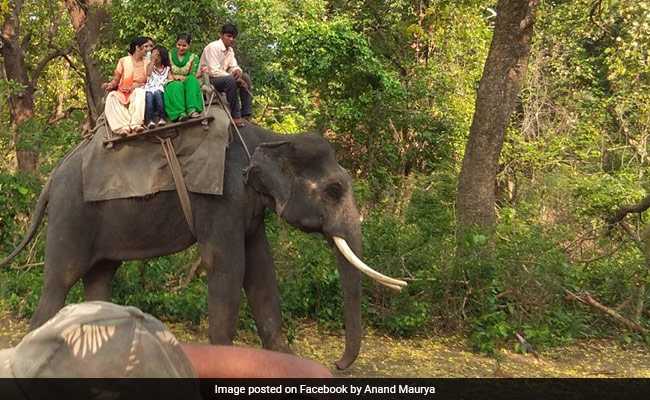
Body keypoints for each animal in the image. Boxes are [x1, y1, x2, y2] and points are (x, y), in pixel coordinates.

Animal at [0, 124, 406, 369]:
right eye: (334, 190)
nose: (337, 364)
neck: (268, 137)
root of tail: (52, 176)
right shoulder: (222, 199)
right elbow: (227, 265)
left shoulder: (248, 208)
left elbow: (261, 271)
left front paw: (284, 357)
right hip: (71, 216)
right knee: (59, 281)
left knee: (100, 277)